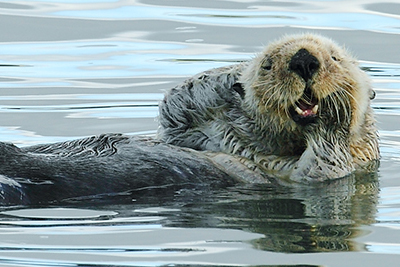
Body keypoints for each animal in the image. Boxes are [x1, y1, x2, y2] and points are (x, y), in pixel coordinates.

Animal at [0, 33, 378, 205]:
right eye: (268, 64)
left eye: (334, 58)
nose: (304, 60)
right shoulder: (189, 135)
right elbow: (176, 109)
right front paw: (230, 79)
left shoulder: (322, 176)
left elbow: (326, 165)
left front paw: (332, 118)